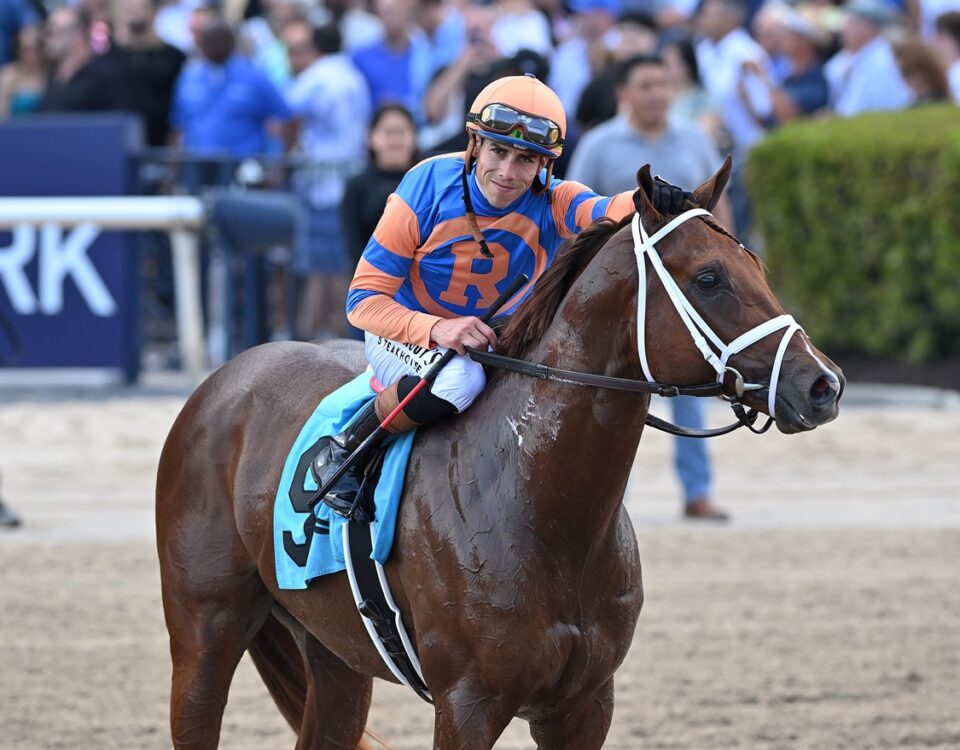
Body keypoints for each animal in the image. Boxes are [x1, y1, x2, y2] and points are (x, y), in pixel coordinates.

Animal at [156, 162, 840, 748]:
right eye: (709, 279)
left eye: (756, 264)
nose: (822, 384)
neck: (538, 496)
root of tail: (227, 377)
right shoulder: (468, 702)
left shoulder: (585, 706)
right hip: (204, 632)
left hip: (335, 653)